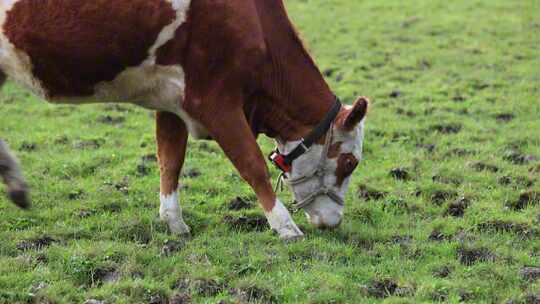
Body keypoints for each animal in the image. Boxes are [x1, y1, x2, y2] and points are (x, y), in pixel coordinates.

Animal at [0, 0, 368, 240]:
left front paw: (174, 222)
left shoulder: (172, 100)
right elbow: (252, 164)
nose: (334, 221)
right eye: (349, 162)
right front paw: (285, 226)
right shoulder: (215, 100)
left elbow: (170, 159)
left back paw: (16, 185)